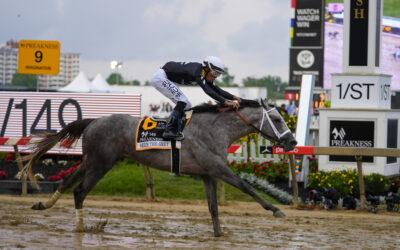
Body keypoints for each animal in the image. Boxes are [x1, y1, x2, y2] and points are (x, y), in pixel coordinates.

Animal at [27, 99, 296, 236]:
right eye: (277, 119)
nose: (292, 142)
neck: (216, 129)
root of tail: (95, 121)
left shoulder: (207, 174)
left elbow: (213, 208)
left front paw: (219, 235)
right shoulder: (218, 168)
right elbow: (247, 187)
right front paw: (276, 210)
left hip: (93, 161)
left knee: (66, 181)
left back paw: (44, 204)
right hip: (101, 163)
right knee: (79, 191)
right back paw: (81, 227)